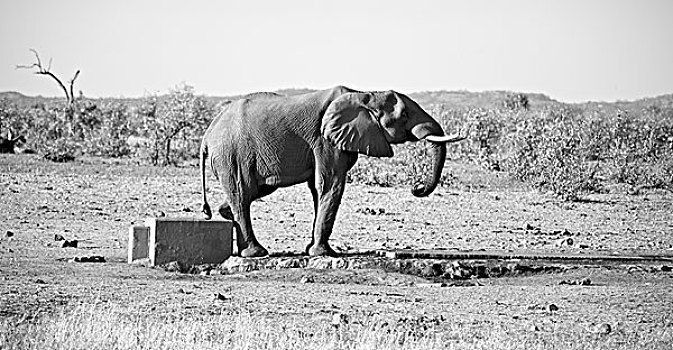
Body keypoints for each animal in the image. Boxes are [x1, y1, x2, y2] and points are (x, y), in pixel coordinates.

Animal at [197, 86, 464, 258]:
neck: (364, 93)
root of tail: (207, 135)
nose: (416, 187)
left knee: (251, 191)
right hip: (231, 155)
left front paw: (315, 251)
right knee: (242, 193)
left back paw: (227, 217)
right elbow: (330, 184)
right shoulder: (325, 141)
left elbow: (320, 189)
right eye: (405, 114)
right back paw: (256, 253)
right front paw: (323, 254)